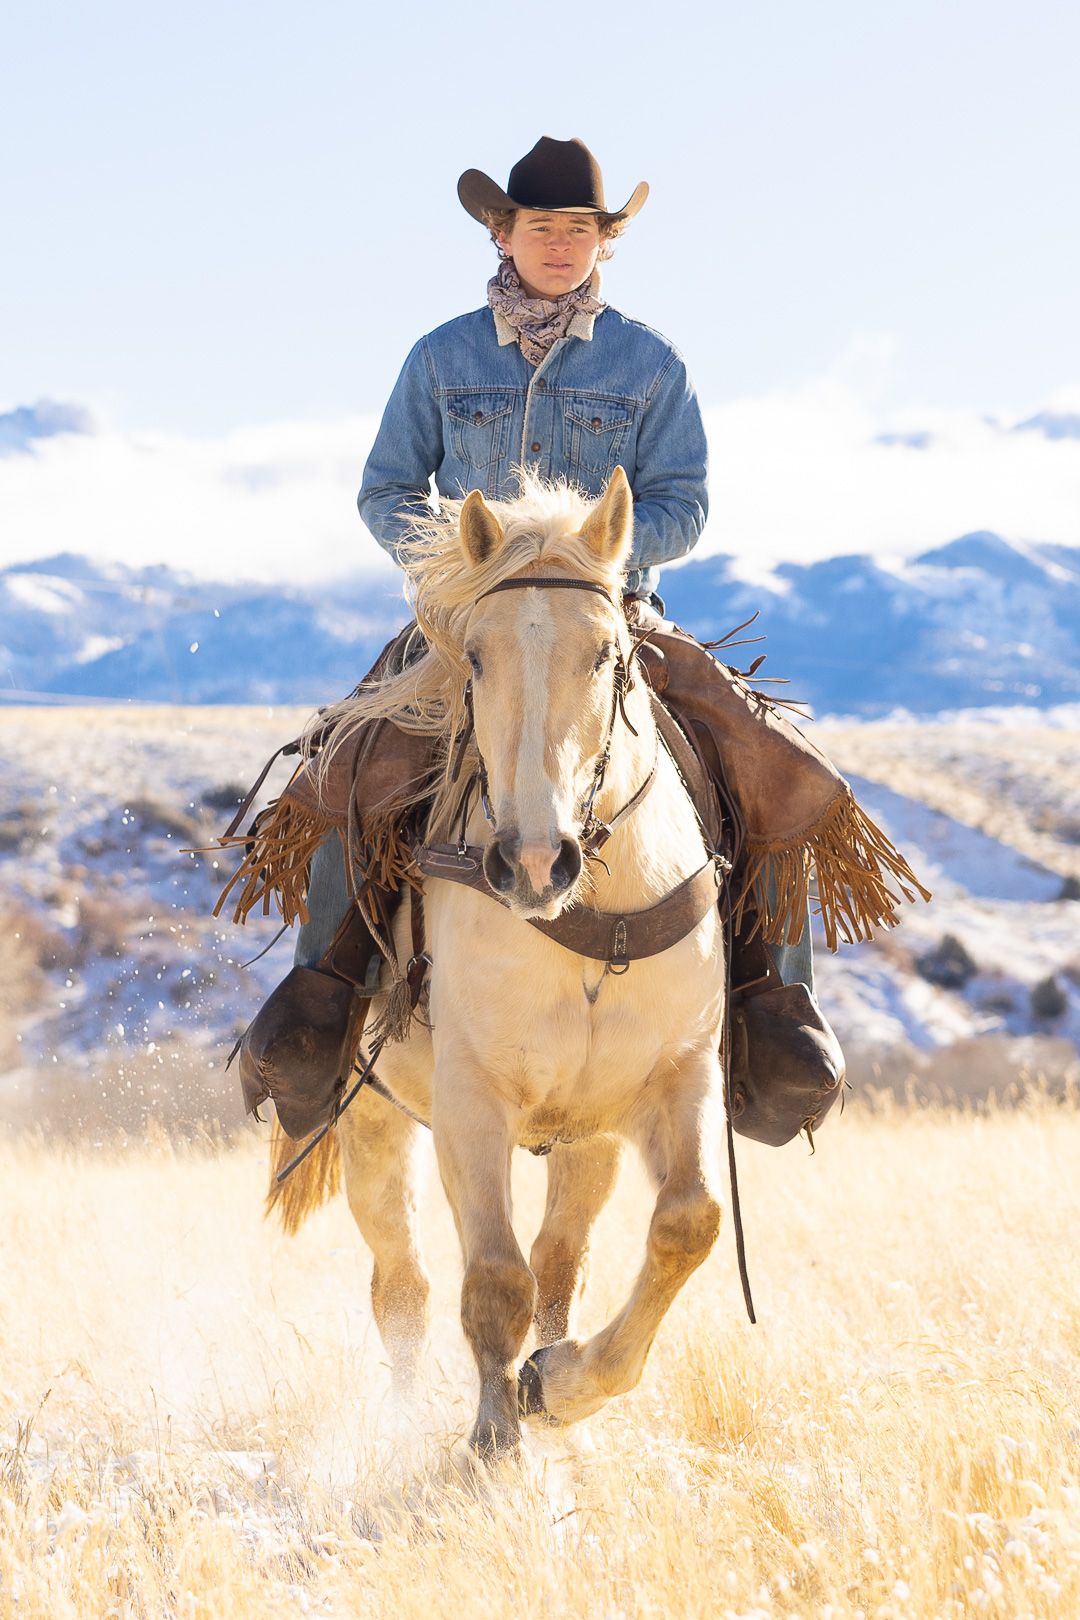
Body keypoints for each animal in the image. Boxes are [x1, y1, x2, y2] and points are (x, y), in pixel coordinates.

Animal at [275, 469, 731, 1458]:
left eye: (605, 655)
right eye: (475, 658)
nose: (532, 860)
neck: (594, 923)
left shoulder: (673, 1078)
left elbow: (687, 1223)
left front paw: (557, 1389)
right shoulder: (469, 1104)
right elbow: (492, 1280)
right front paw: (493, 1440)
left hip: (586, 1140)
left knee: (562, 1264)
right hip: (374, 1122)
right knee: (402, 1289)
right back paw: (408, 1418)